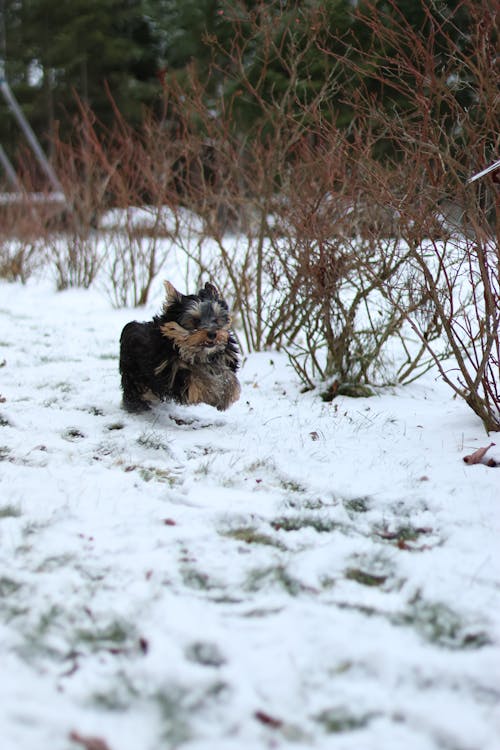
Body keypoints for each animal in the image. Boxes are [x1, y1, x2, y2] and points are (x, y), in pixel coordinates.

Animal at [119, 282, 240, 414]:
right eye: (194, 320)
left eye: (216, 319)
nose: (213, 334)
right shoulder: (172, 370)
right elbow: (197, 379)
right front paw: (214, 393)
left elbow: (226, 374)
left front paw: (227, 392)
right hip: (133, 371)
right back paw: (137, 405)